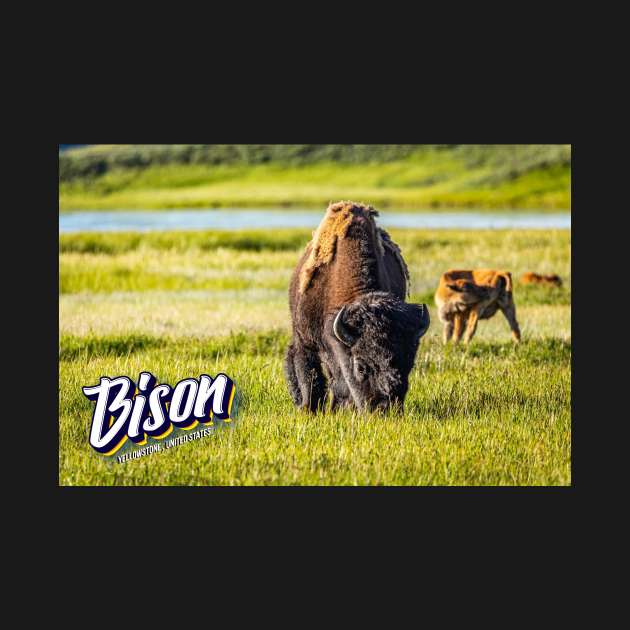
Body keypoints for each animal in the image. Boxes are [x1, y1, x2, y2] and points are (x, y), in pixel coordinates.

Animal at [286, 202, 430, 414]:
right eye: (361, 367)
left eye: (409, 363)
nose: (383, 409)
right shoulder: (305, 341)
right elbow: (310, 377)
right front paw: (309, 409)